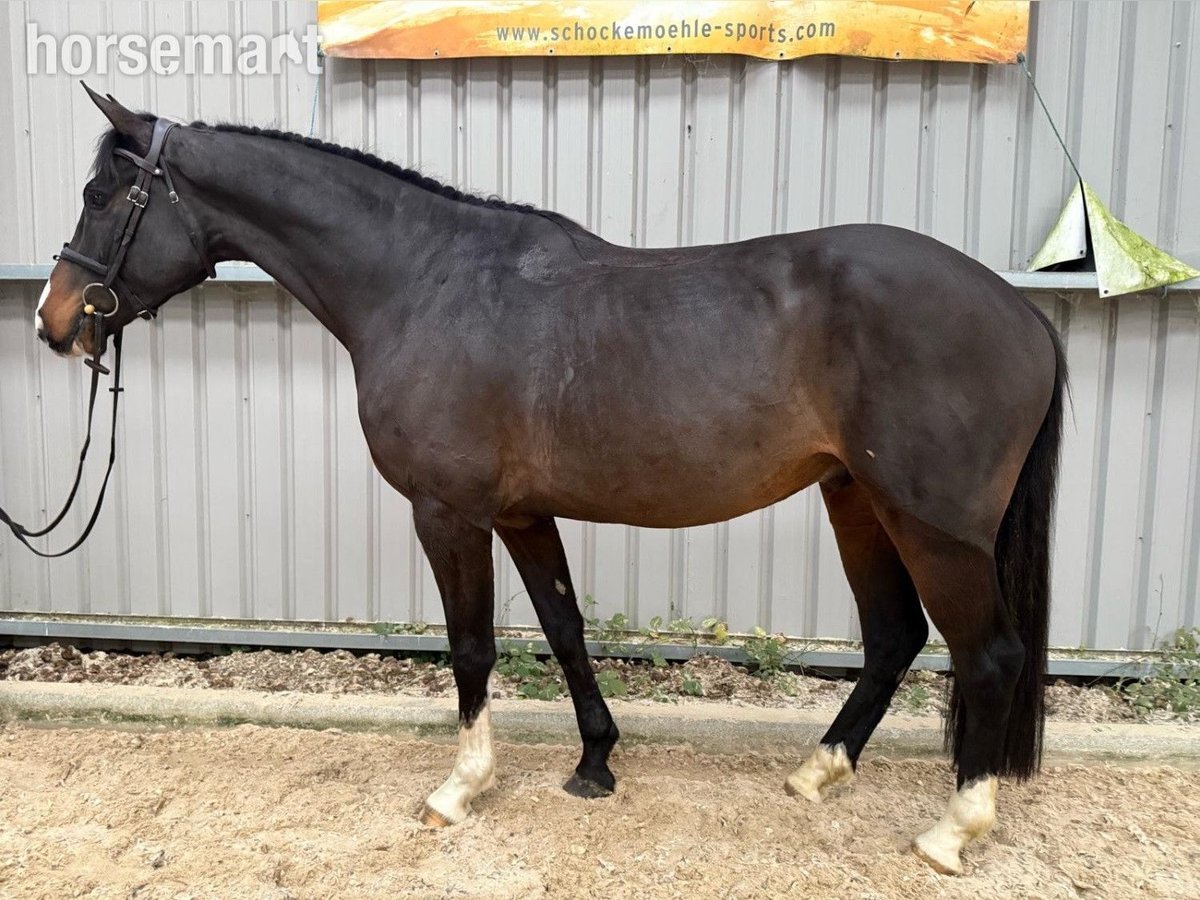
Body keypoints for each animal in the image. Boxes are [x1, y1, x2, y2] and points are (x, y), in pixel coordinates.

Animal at [34, 86, 1066, 876]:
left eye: (99, 194)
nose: (55, 320)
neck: (426, 284)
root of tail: (1021, 312)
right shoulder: (525, 515)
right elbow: (564, 629)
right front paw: (595, 763)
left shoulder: (448, 514)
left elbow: (472, 648)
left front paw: (459, 789)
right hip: (855, 499)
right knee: (894, 636)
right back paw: (818, 773)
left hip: (931, 525)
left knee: (988, 655)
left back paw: (952, 831)